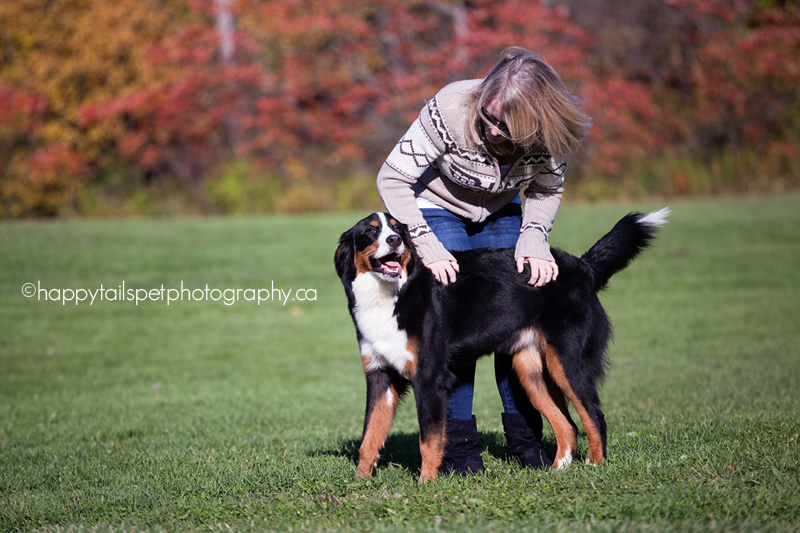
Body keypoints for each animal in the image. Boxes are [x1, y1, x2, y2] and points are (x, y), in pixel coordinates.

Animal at [332, 209, 668, 482]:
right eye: (371, 232)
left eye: (397, 231)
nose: (394, 241)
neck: (391, 295)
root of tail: (581, 267)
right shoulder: (380, 377)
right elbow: (369, 437)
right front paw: (359, 483)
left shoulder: (428, 377)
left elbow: (428, 440)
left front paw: (426, 484)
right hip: (530, 371)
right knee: (567, 426)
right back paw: (556, 470)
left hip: (569, 363)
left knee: (595, 417)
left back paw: (594, 467)